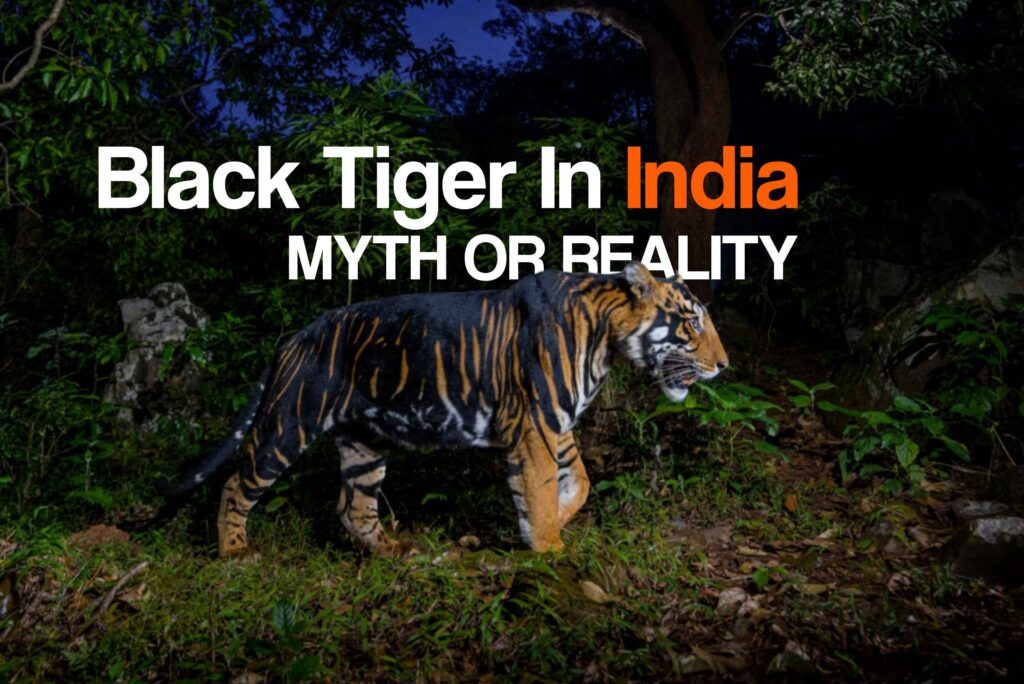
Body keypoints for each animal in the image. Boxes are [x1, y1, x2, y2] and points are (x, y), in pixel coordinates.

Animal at [159, 262, 729, 559]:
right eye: (692, 323)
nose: (724, 365)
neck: (606, 340)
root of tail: (295, 336)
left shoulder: (554, 422)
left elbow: (580, 481)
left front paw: (553, 522)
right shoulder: (537, 424)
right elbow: (542, 487)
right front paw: (548, 546)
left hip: (365, 444)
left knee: (353, 507)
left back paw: (394, 551)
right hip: (288, 423)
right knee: (237, 483)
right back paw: (235, 552)